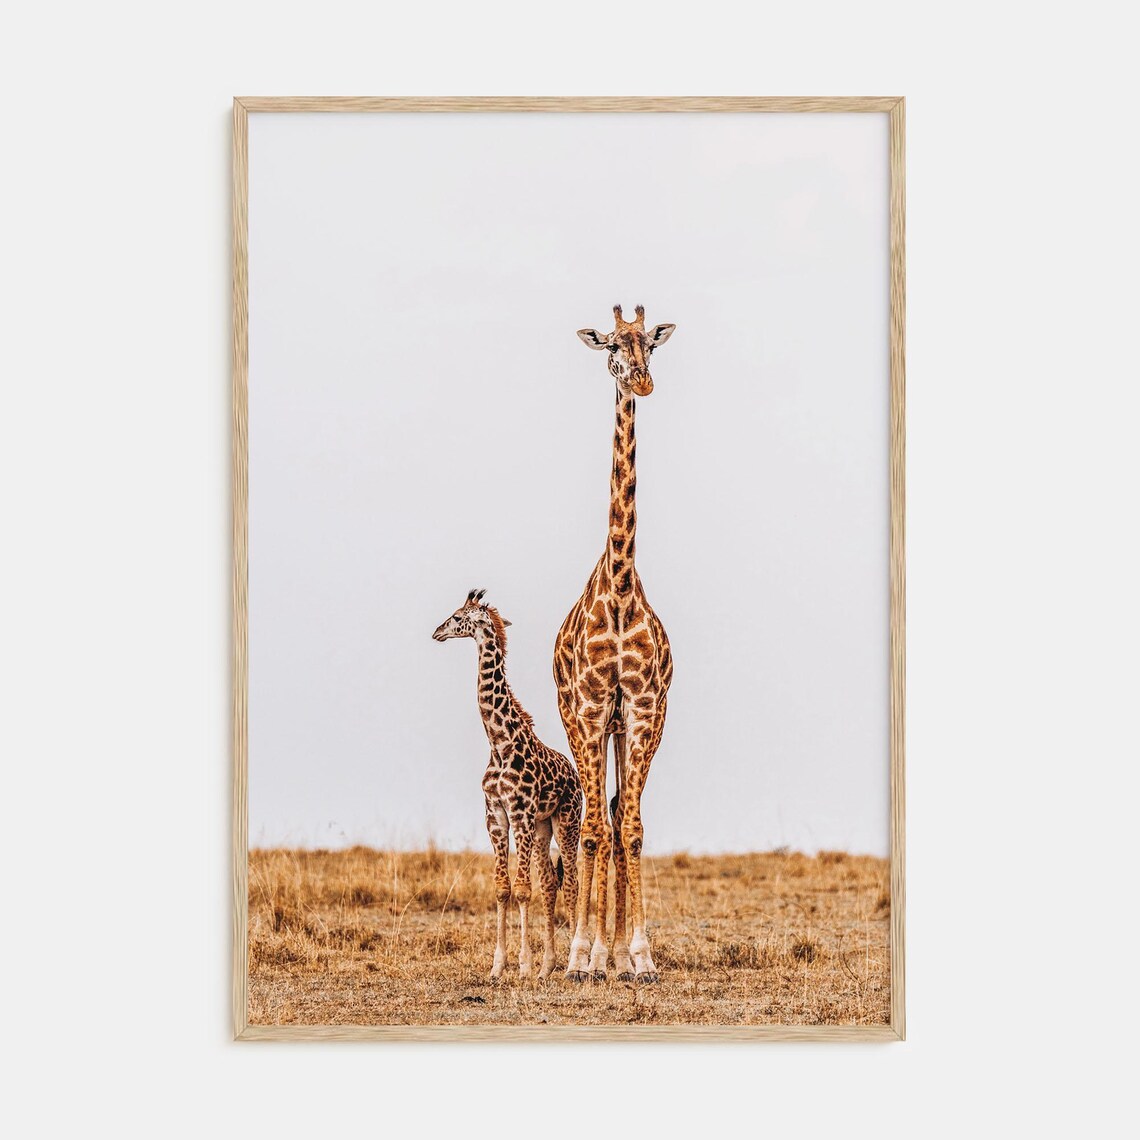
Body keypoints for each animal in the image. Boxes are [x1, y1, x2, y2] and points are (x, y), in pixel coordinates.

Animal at [433, 589, 582, 981]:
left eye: (458, 617)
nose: (437, 632)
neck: (499, 743)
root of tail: (575, 774)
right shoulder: (496, 815)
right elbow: (503, 889)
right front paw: (499, 966)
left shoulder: (521, 813)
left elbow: (522, 889)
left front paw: (524, 965)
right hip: (544, 827)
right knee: (550, 884)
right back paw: (549, 966)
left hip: (566, 821)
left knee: (573, 882)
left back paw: (574, 963)